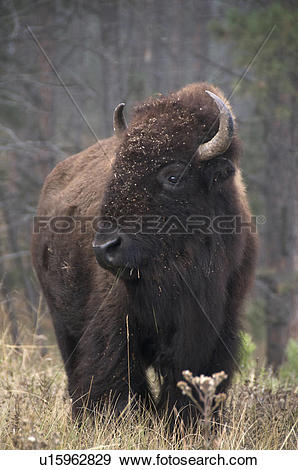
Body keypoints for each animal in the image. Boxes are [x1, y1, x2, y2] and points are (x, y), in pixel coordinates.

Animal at [32, 82, 256, 424]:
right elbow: (114, 377)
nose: (105, 248)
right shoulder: (115, 325)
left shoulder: (215, 330)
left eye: (173, 175)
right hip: (61, 323)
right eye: (117, 167)